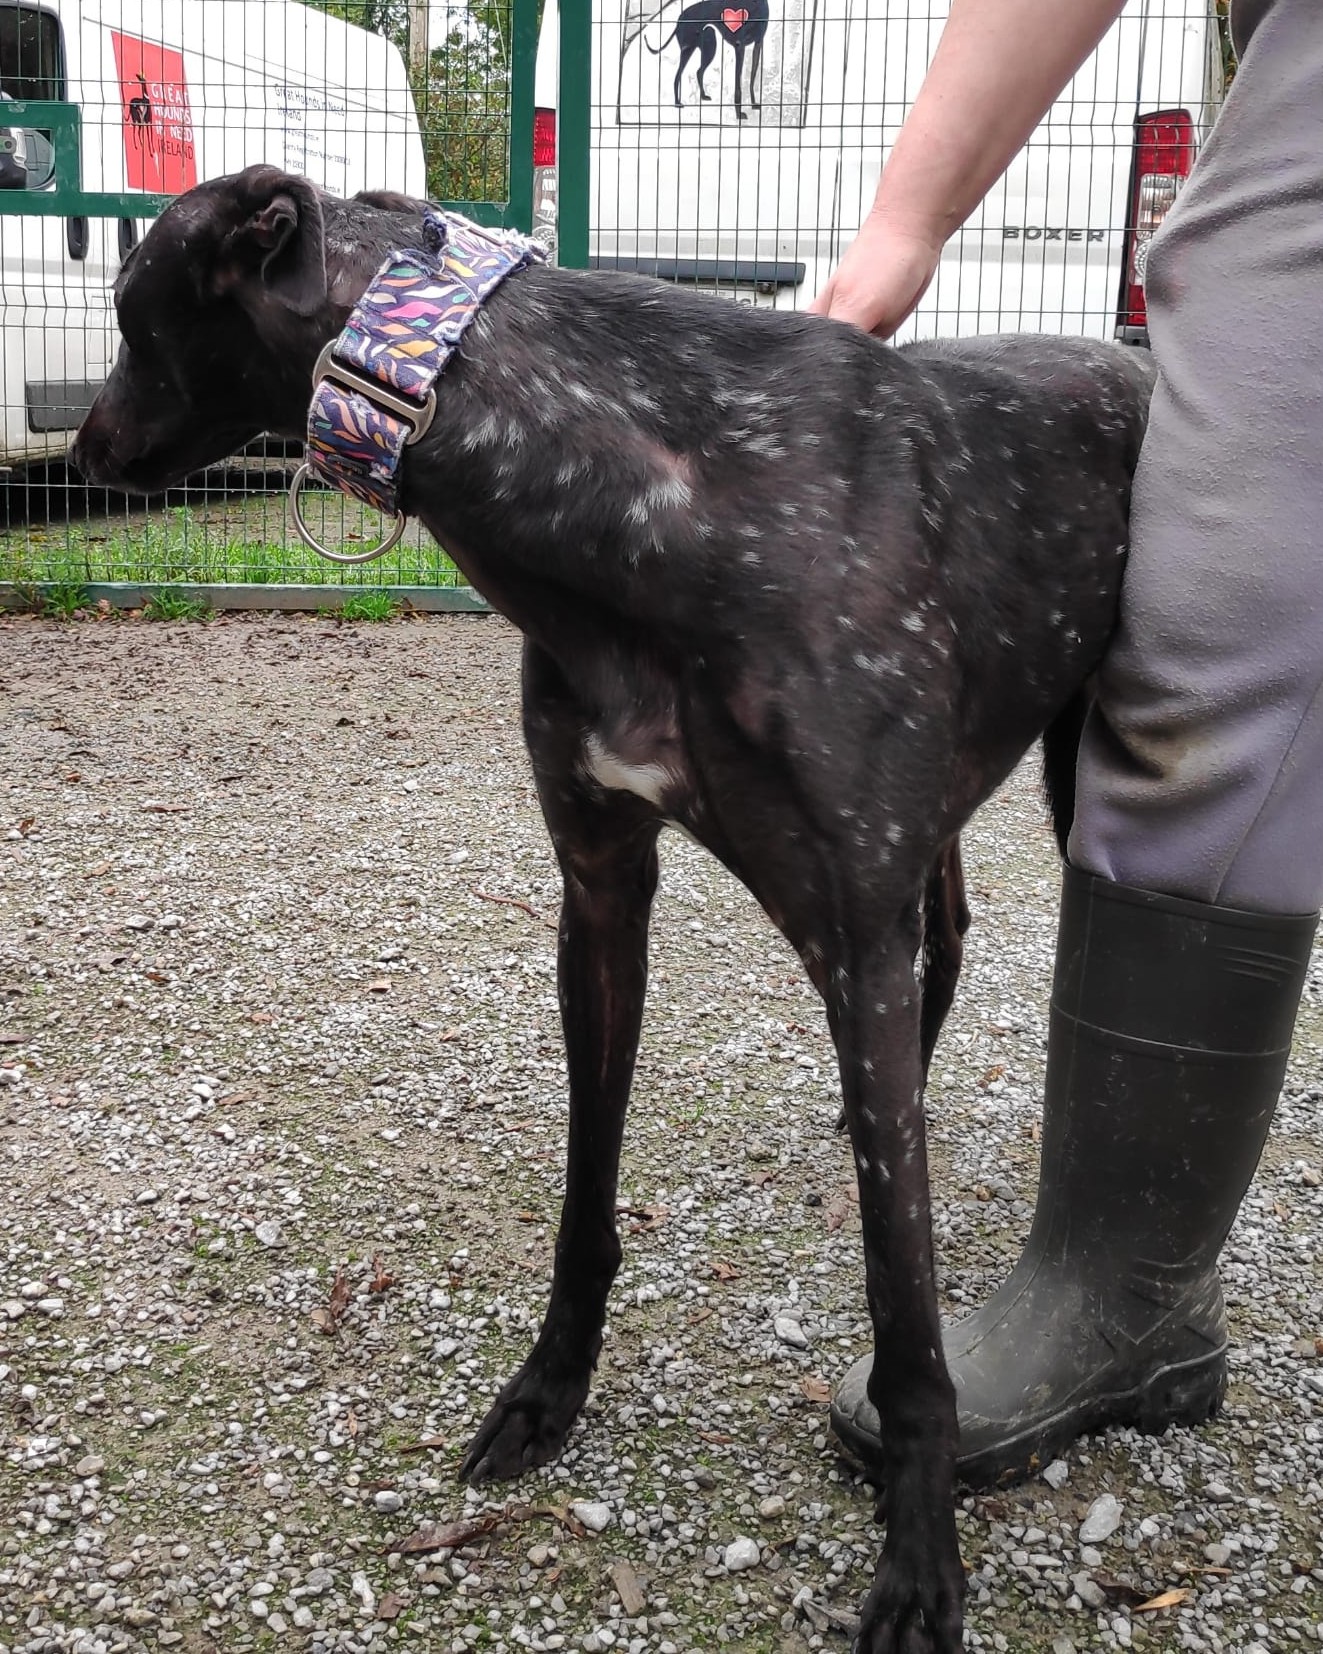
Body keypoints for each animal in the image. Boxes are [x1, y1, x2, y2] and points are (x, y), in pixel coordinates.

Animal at [71, 166, 1155, 1654]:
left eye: (131, 310)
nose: (82, 445)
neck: (648, 489)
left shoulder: (847, 927)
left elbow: (905, 1308)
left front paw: (918, 1553)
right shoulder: (600, 889)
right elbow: (588, 1187)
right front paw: (547, 1389)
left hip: (1078, 768)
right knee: (945, 937)